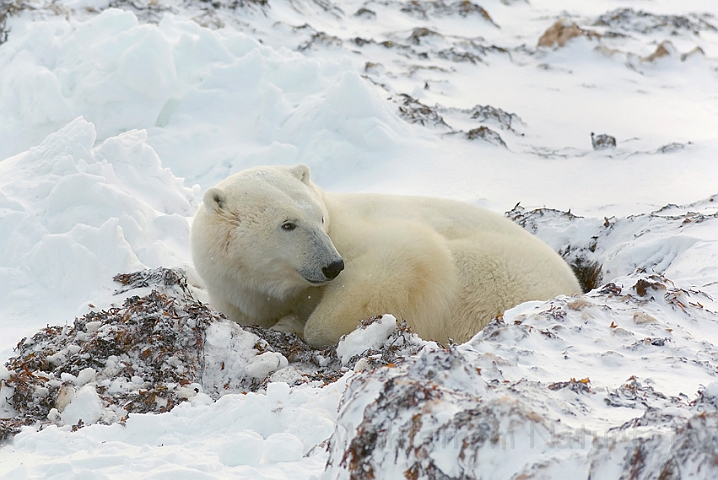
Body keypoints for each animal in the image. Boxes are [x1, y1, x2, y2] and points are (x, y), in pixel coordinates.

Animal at [191, 164, 584, 344]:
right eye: (288, 224)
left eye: (319, 217)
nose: (333, 266)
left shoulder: (367, 237)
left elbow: (402, 254)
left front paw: (299, 324)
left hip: (495, 275)